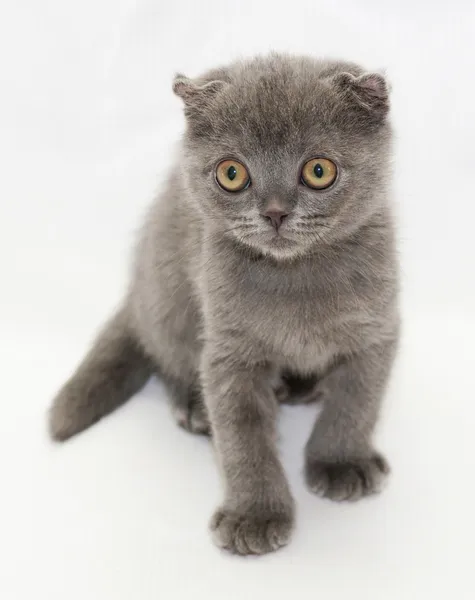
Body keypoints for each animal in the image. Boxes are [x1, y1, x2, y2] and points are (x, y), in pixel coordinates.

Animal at [49, 54, 398, 556]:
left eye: (319, 170)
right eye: (232, 174)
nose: (275, 211)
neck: (295, 279)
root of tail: (134, 292)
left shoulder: (376, 327)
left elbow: (357, 402)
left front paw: (340, 463)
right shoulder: (229, 350)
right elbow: (242, 435)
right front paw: (255, 516)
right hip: (169, 296)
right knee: (170, 357)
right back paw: (196, 407)